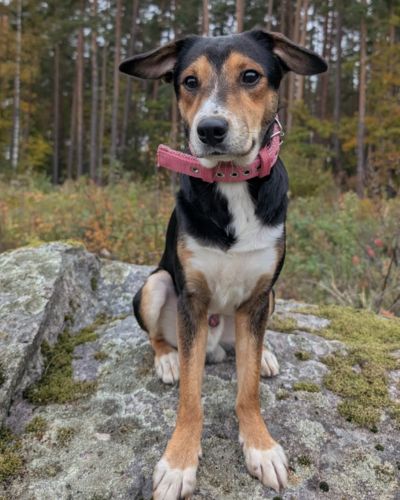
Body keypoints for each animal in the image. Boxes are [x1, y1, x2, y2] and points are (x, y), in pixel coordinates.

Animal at [120, 30, 327, 499]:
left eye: (250, 76)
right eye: (189, 82)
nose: (210, 129)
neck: (231, 182)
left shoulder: (259, 296)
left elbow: (247, 391)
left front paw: (260, 446)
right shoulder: (191, 299)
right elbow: (190, 396)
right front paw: (179, 461)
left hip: (270, 298)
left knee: (247, 348)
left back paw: (263, 355)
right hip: (155, 285)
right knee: (159, 335)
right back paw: (167, 360)